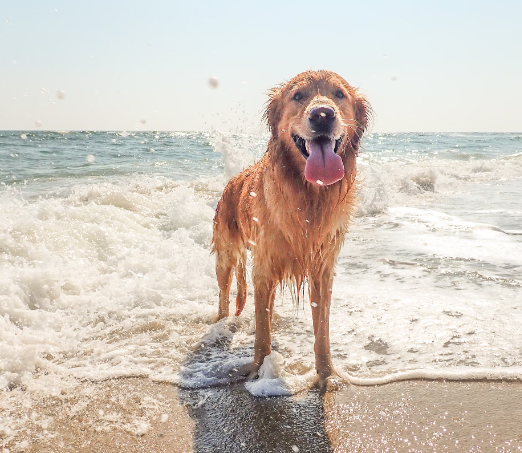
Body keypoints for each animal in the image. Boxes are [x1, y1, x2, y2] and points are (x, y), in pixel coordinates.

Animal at [209, 69, 368, 386]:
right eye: (297, 96)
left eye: (339, 94)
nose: (322, 115)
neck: (308, 196)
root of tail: (231, 182)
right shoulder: (264, 266)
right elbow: (262, 333)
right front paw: (258, 368)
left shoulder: (322, 268)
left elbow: (322, 331)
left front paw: (325, 374)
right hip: (226, 254)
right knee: (224, 293)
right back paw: (222, 325)